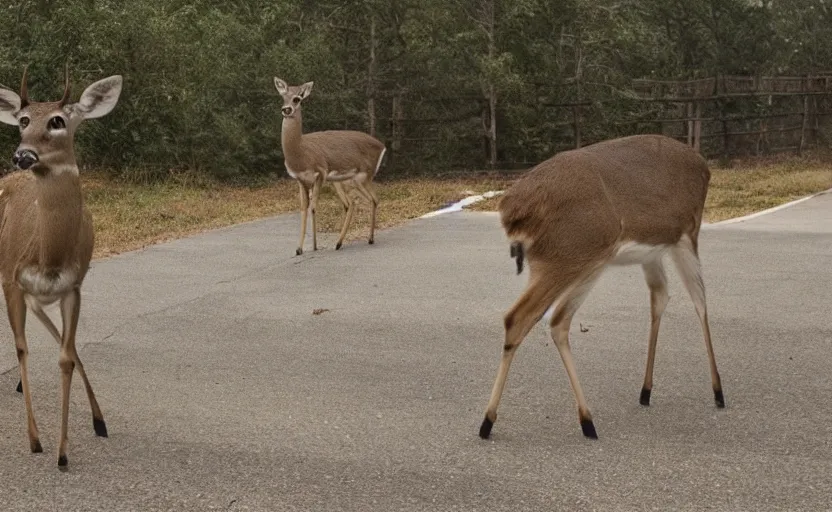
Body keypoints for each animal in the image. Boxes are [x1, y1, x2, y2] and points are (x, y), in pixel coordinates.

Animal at [0, 67, 123, 468]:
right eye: (23, 120)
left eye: (57, 121)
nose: (23, 155)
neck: (49, 254)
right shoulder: (12, 279)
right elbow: (22, 348)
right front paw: (35, 439)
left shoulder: (74, 286)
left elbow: (67, 356)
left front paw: (64, 451)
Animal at [274, 78, 388, 256]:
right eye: (282, 96)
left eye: (297, 98)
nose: (286, 109)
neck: (301, 152)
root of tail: (382, 146)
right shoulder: (300, 179)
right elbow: (303, 209)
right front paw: (299, 248)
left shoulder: (320, 172)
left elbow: (314, 207)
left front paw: (314, 246)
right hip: (342, 181)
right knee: (352, 203)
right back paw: (340, 243)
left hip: (363, 176)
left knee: (372, 199)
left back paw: (368, 239)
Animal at [478, 134, 724, 442]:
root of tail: (512, 211)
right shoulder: (686, 233)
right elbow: (699, 302)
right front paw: (718, 391)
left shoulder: (652, 254)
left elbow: (660, 299)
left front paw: (646, 390)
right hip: (574, 257)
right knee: (528, 318)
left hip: (573, 263)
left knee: (554, 321)